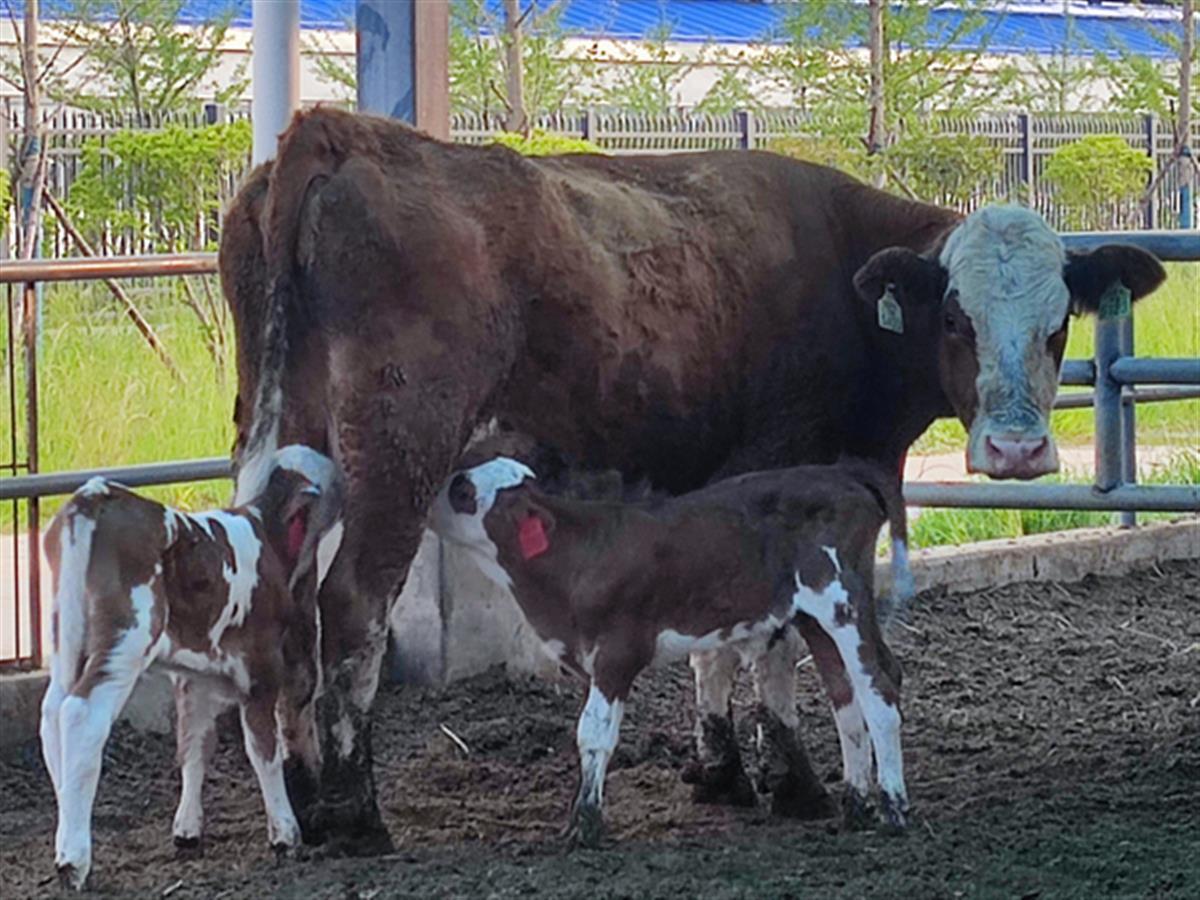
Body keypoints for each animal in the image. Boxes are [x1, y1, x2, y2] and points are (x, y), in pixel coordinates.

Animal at [220, 107, 1166, 854]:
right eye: (956, 318)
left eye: (1059, 325)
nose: (1017, 451)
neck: (843, 277)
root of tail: (339, 133)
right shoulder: (784, 480)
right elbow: (771, 643)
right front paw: (791, 780)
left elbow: (718, 632)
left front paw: (720, 769)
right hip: (396, 456)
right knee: (351, 610)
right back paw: (354, 811)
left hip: (290, 450)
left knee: (284, 596)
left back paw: (301, 794)